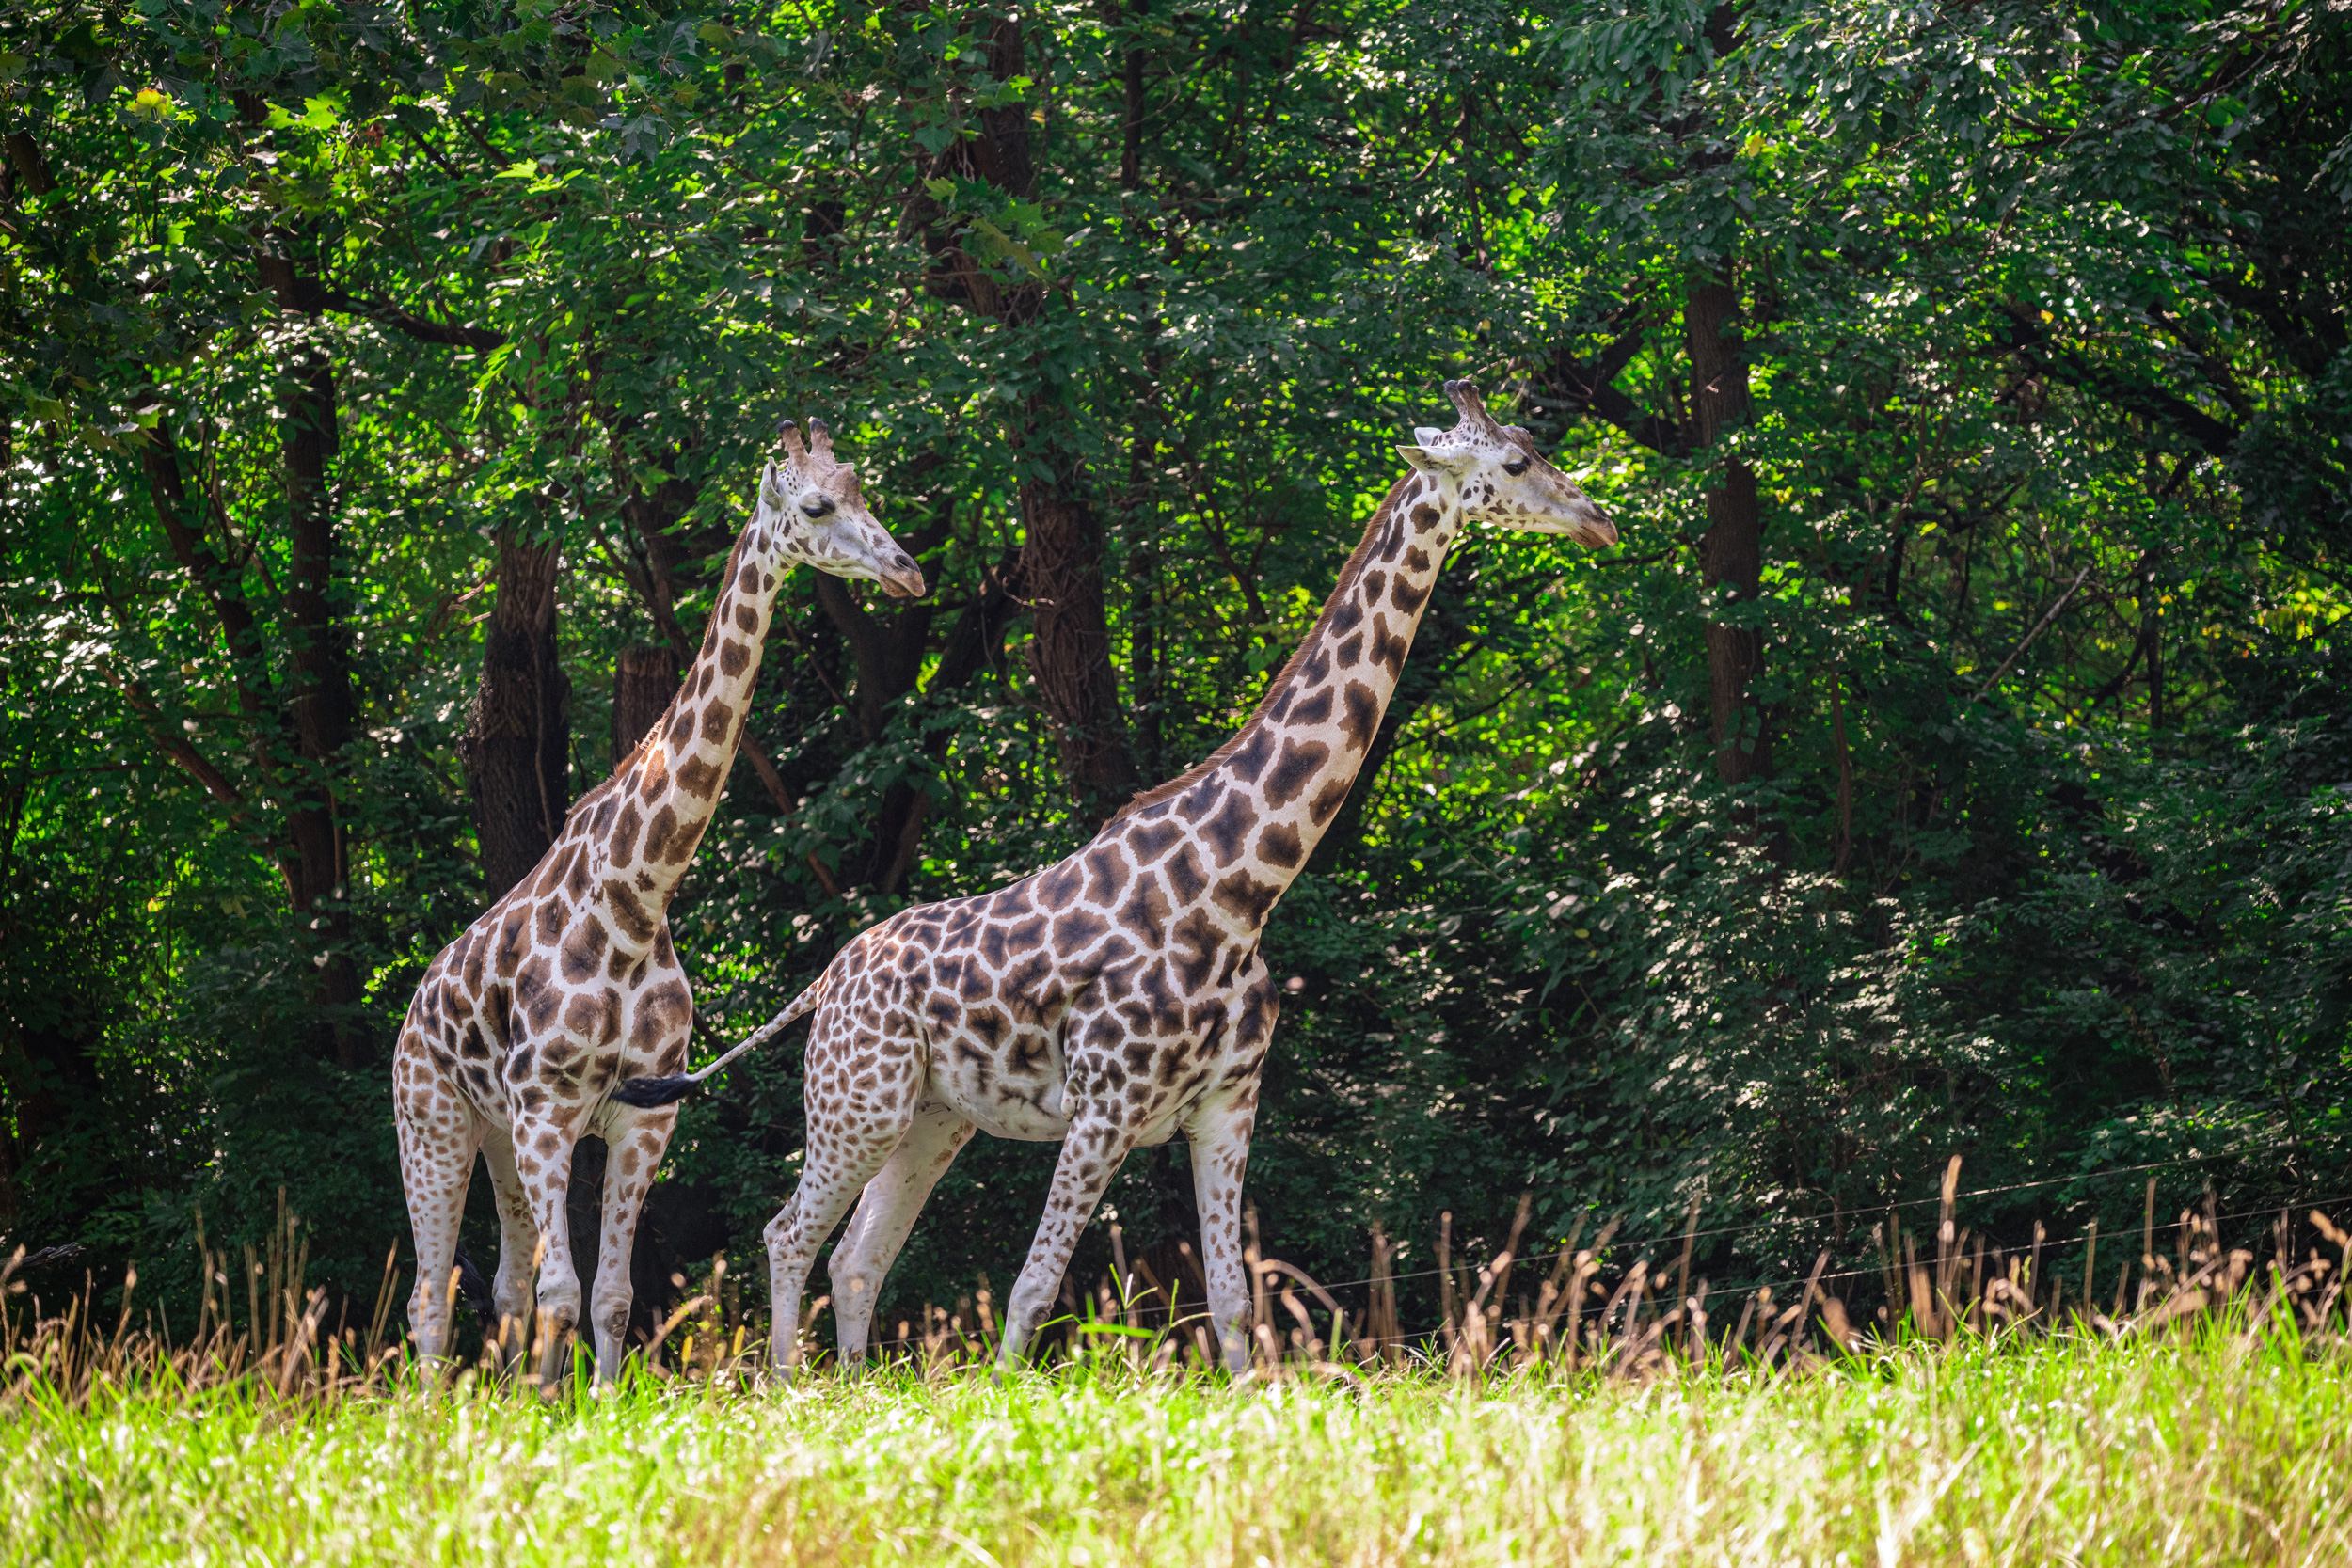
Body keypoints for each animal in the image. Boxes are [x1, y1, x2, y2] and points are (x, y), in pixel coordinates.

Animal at [392, 419, 926, 1383]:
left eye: (865, 491)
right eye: (816, 506)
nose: (907, 570)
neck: (635, 898)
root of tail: (414, 1008)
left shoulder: (643, 1118)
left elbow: (607, 1294)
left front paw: (591, 1404)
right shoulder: (548, 1109)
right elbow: (566, 1293)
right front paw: (554, 1407)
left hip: (493, 1138)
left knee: (503, 1284)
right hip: (434, 1122)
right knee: (429, 1294)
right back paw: (432, 1406)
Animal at [618, 380, 1617, 1372]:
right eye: (1516, 461)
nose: (1599, 518)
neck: (1237, 889)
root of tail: (823, 980)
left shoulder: (1227, 1107)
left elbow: (1232, 1302)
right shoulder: (1105, 1108)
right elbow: (1030, 1293)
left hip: (931, 1118)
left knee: (858, 1255)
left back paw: (855, 1388)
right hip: (855, 1103)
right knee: (789, 1233)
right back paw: (789, 1386)